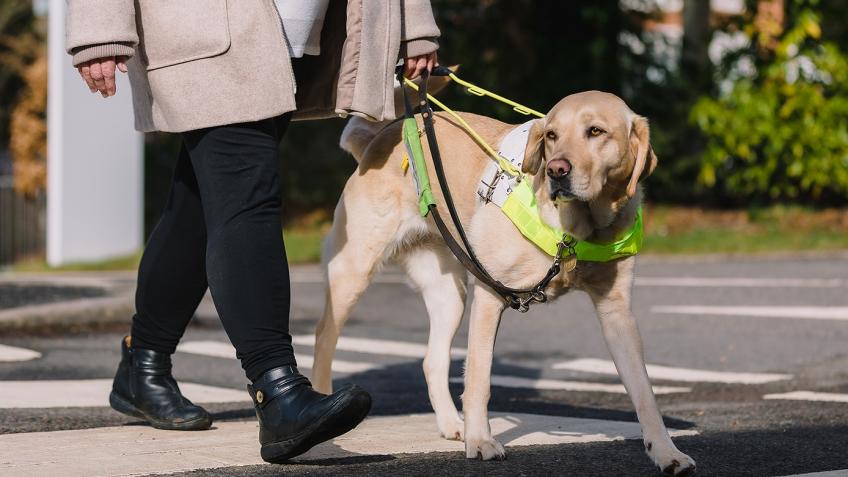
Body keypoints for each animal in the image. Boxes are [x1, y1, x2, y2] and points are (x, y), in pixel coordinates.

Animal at [312, 87, 696, 474]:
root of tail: (379, 140)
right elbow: (479, 378)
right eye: (552, 135)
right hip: (354, 269)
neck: (574, 233)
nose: (557, 170)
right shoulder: (489, 296)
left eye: (596, 131)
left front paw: (666, 452)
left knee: (431, 360)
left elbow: (644, 391)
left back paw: (452, 424)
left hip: (450, 295)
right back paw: (325, 420)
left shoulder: (616, 312)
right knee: (324, 338)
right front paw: (480, 441)